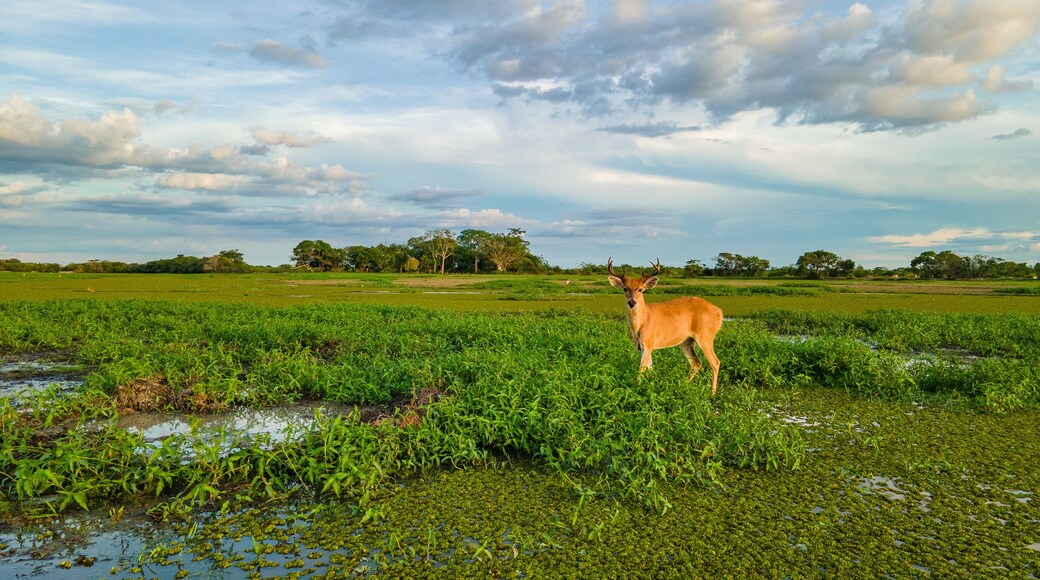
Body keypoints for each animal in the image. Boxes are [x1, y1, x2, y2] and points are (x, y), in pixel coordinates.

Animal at [608, 258, 723, 395]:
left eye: (641, 289)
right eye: (625, 289)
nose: (632, 302)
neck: (642, 322)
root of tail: (719, 312)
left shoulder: (648, 342)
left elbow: (641, 370)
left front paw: (638, 389)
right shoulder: (643, 347)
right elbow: (650, 368)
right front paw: (651, 387)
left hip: (705, 335)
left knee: (715, 362)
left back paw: (712, 393)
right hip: (686, 342)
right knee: (696, 363)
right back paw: (684, 385)